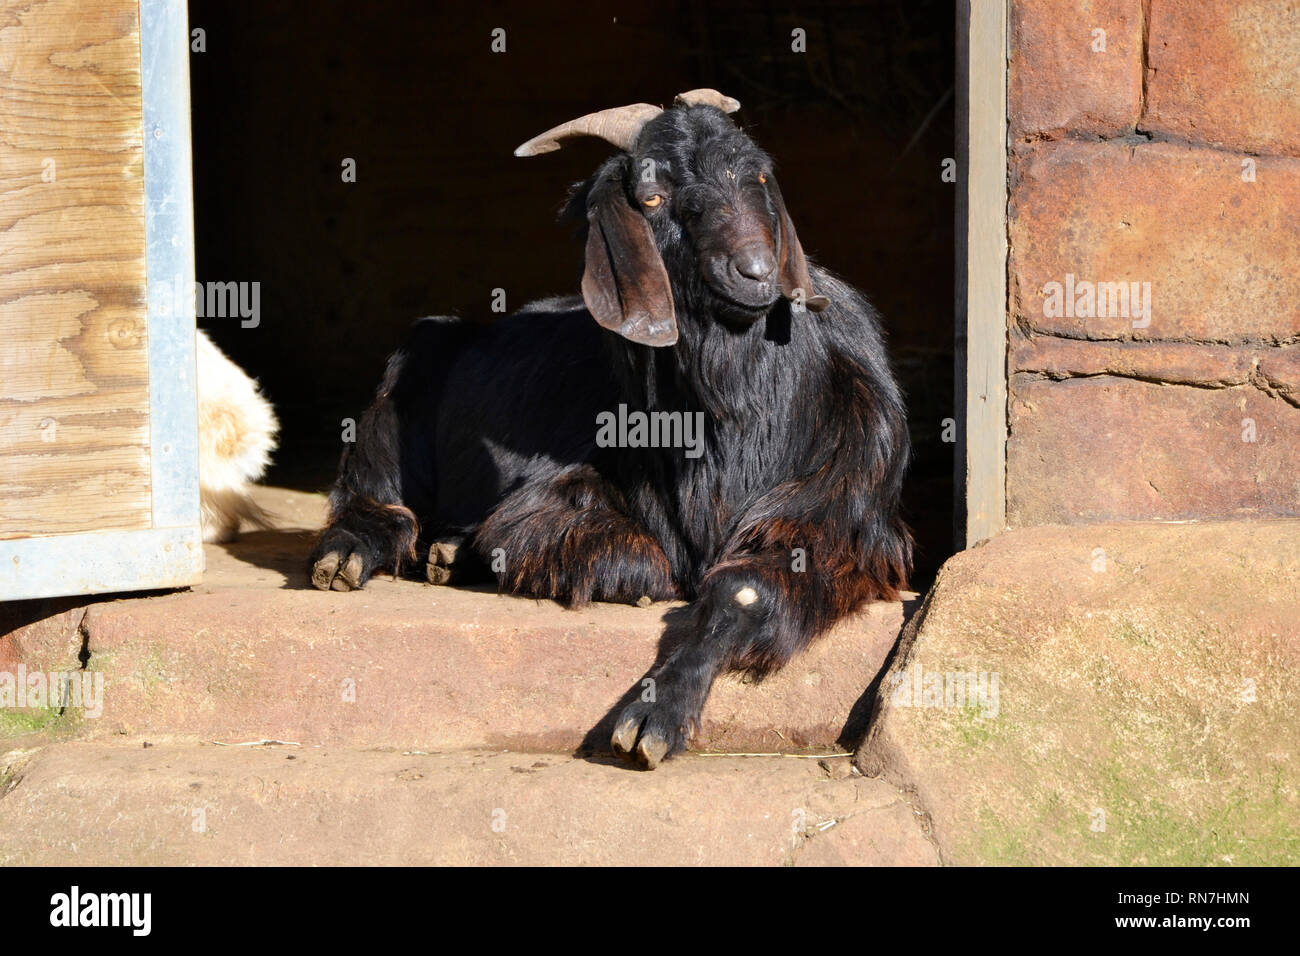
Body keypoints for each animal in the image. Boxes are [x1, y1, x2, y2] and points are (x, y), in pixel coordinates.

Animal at [309, 89, 912, 768]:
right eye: (652, 197)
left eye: (759, 177)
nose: (756, 271)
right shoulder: (555, 498)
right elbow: (631, 558)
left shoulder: (842, 517)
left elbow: (743, 589)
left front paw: (655, 714)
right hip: (402, 382)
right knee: (374, 492)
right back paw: (348, 553)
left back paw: (447, 552)